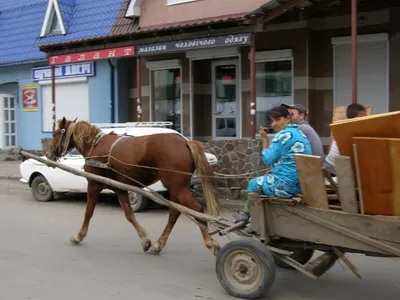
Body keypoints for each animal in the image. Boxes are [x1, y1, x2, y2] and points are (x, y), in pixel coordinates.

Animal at [47, 117, 222, 255]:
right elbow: (129, 214)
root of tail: (185, 142)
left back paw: (210, 243)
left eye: (55, 133)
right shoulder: (120, 188)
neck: (95, 146)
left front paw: (79, 236)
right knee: (174, 213)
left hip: (178, 188)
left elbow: (88, 212)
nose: (48, 154)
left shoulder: (94, 184)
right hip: (176, 189)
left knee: (197, 210)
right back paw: (158, 244)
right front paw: (145, 240)